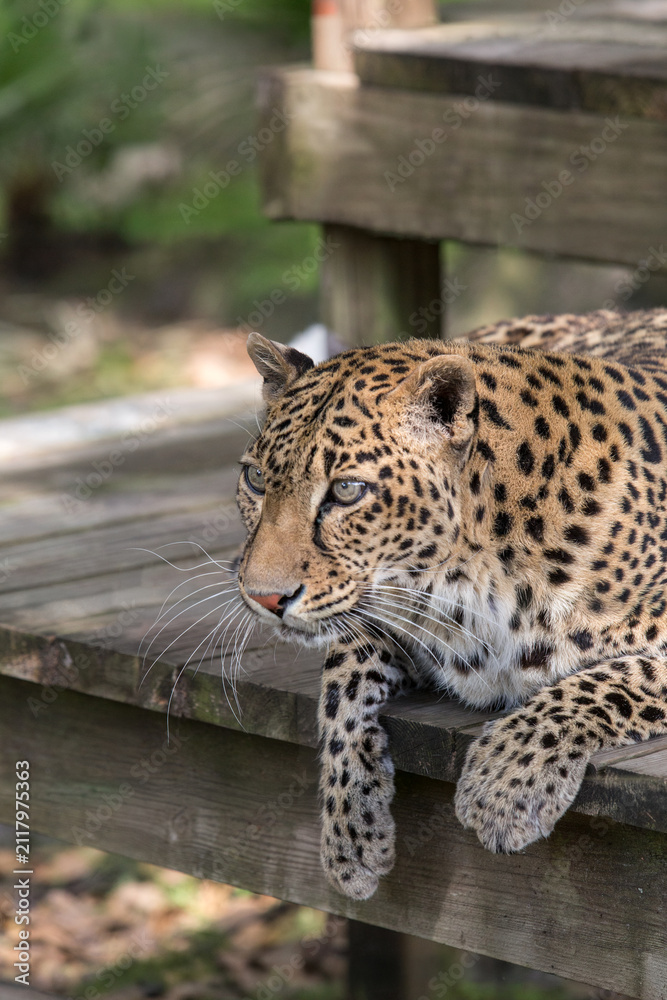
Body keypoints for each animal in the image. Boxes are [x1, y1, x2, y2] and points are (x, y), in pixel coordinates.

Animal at [234, 307, 667, 901]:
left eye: (346, 491)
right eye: (255, 479)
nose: (263, 597)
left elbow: (604, 681)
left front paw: (504, 786)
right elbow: (339, 690)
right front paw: (351, 836)